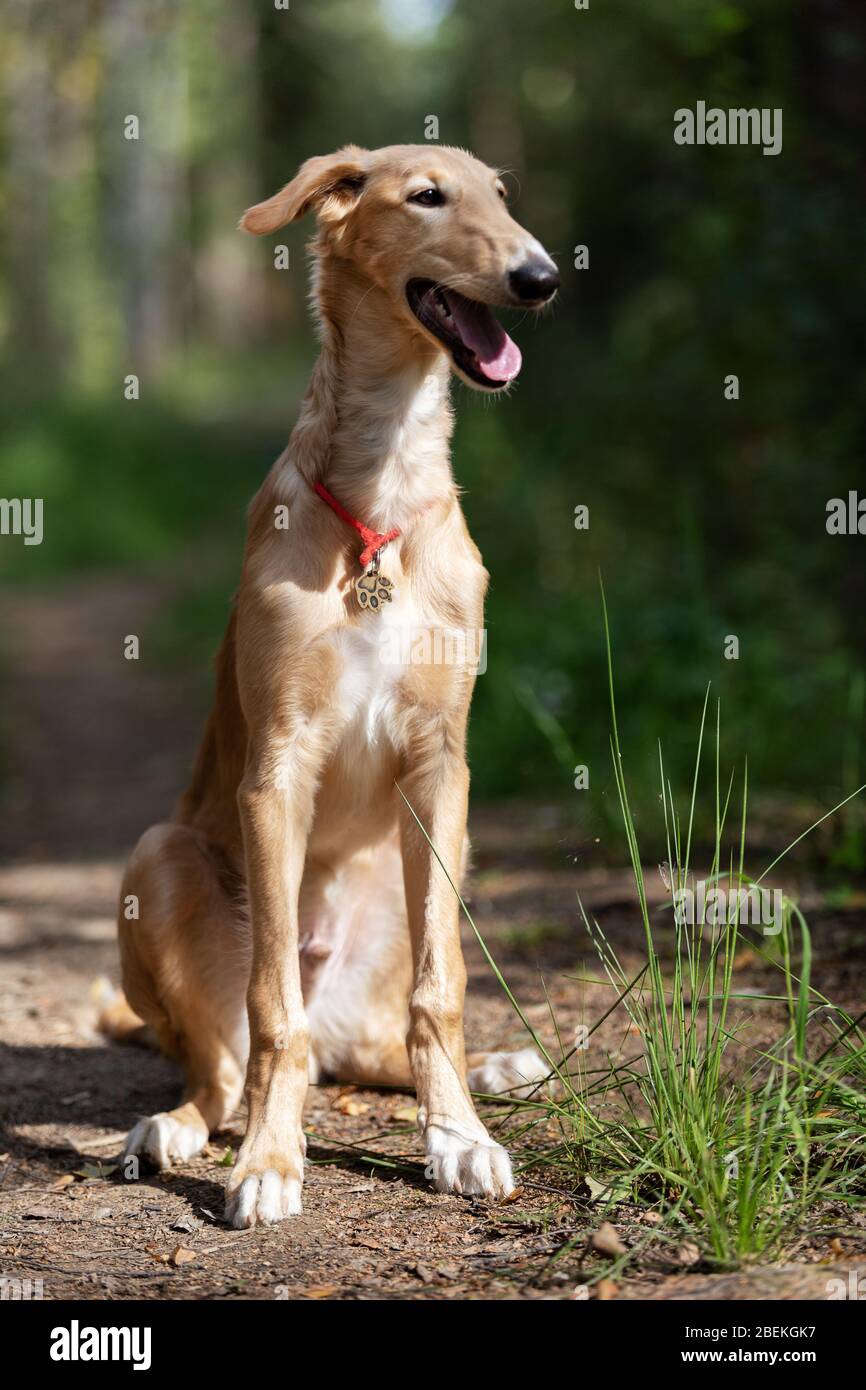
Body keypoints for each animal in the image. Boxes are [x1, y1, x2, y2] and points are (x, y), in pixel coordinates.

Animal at [101, 143, 558, 1228]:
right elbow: (273, 1009)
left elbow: (441, 992)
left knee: (387, 1039)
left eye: (501, 196)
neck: (379, 497)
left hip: (431, 865)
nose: (543, 278)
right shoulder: (277, 765)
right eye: (426, 196)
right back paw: (180, 1128)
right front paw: (270, 1162)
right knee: (233, 1066)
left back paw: (490, 1073)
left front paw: (459, 1138)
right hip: (158, 857)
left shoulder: (441, 762)